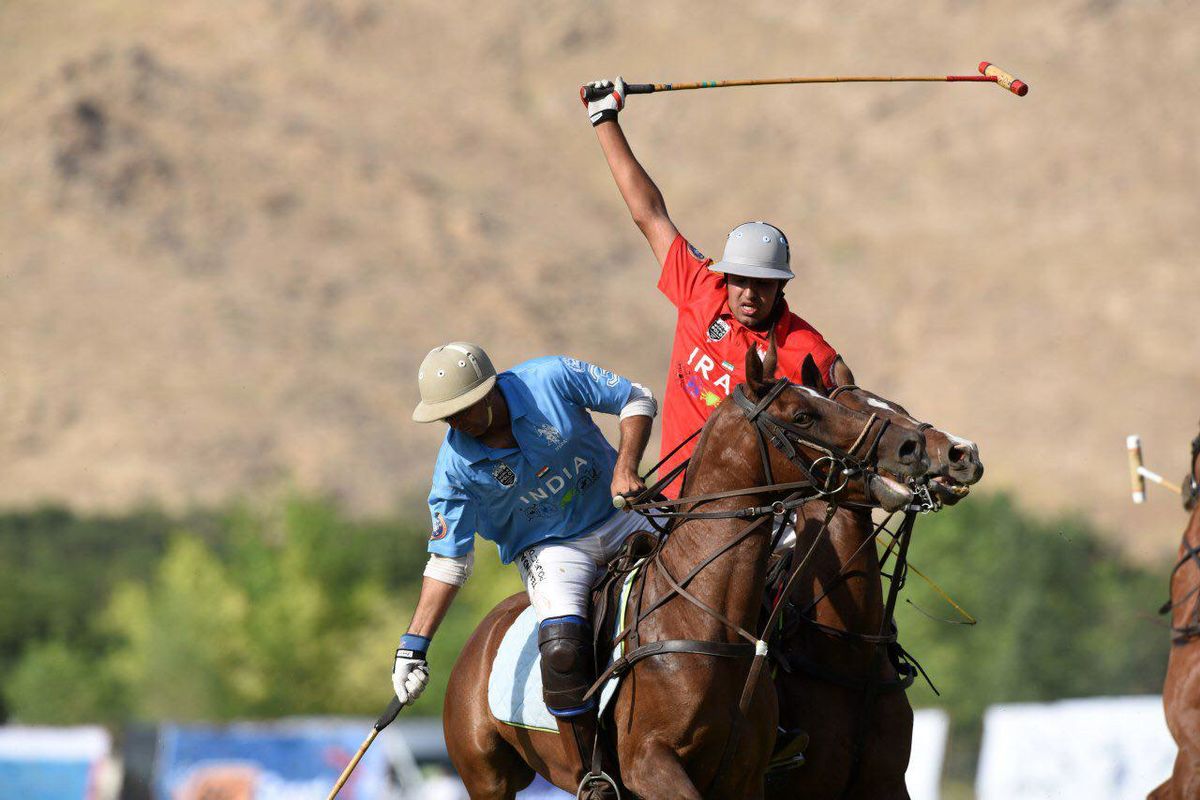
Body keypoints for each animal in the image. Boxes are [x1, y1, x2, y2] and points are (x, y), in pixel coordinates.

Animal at [446, 350, 921, 800]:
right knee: (561, 653)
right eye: (803, 415)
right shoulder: (649, 766)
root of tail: (480, 634)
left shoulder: (752, 778)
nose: (911, 445)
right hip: (487, 778)